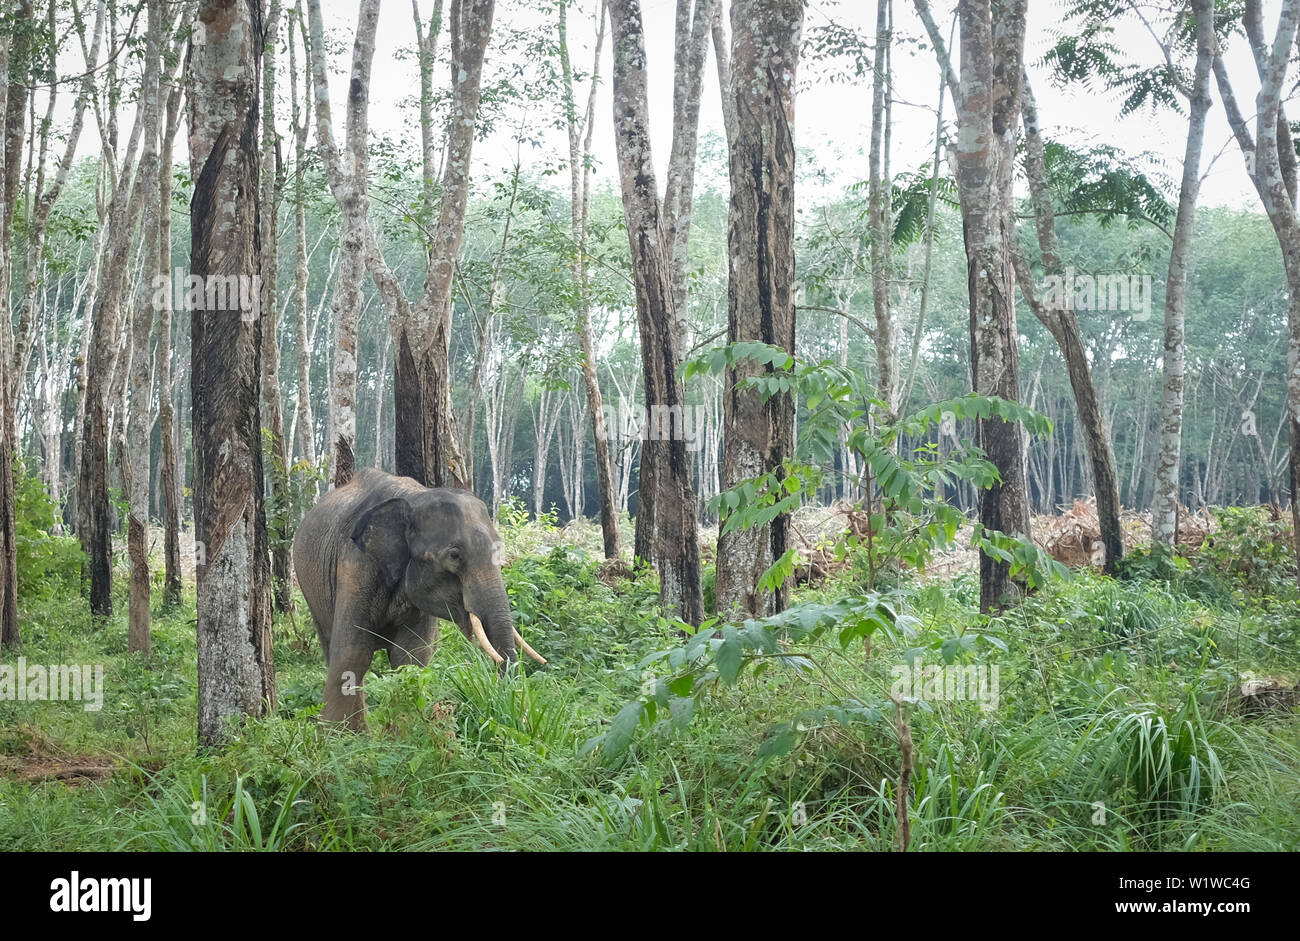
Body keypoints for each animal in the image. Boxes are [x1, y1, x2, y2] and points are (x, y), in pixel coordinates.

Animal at [292, 468, 544, 729]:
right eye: (454, 556)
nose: (521, 719)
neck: (414, 498)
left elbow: (411, 656)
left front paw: (405, 728)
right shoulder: (356, 564)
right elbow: (353, 652)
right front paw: (339, 735)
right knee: (331, 645)